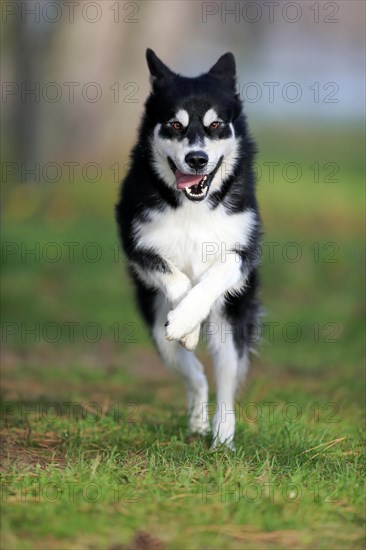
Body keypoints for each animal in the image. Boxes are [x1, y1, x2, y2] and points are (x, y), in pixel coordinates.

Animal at [116, 49, 262, 450]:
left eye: (216, 125)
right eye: (174, 125)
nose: (197, 159)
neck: (193, 206)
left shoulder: (243, 252)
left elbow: (217, 272)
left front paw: (189, 317)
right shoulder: (138, 244)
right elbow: (176, 277)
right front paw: (187, 325)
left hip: (232, 322)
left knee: (225, 380)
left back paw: (222, 436)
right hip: (156, 328)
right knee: (195, 374)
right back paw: (197, 420)